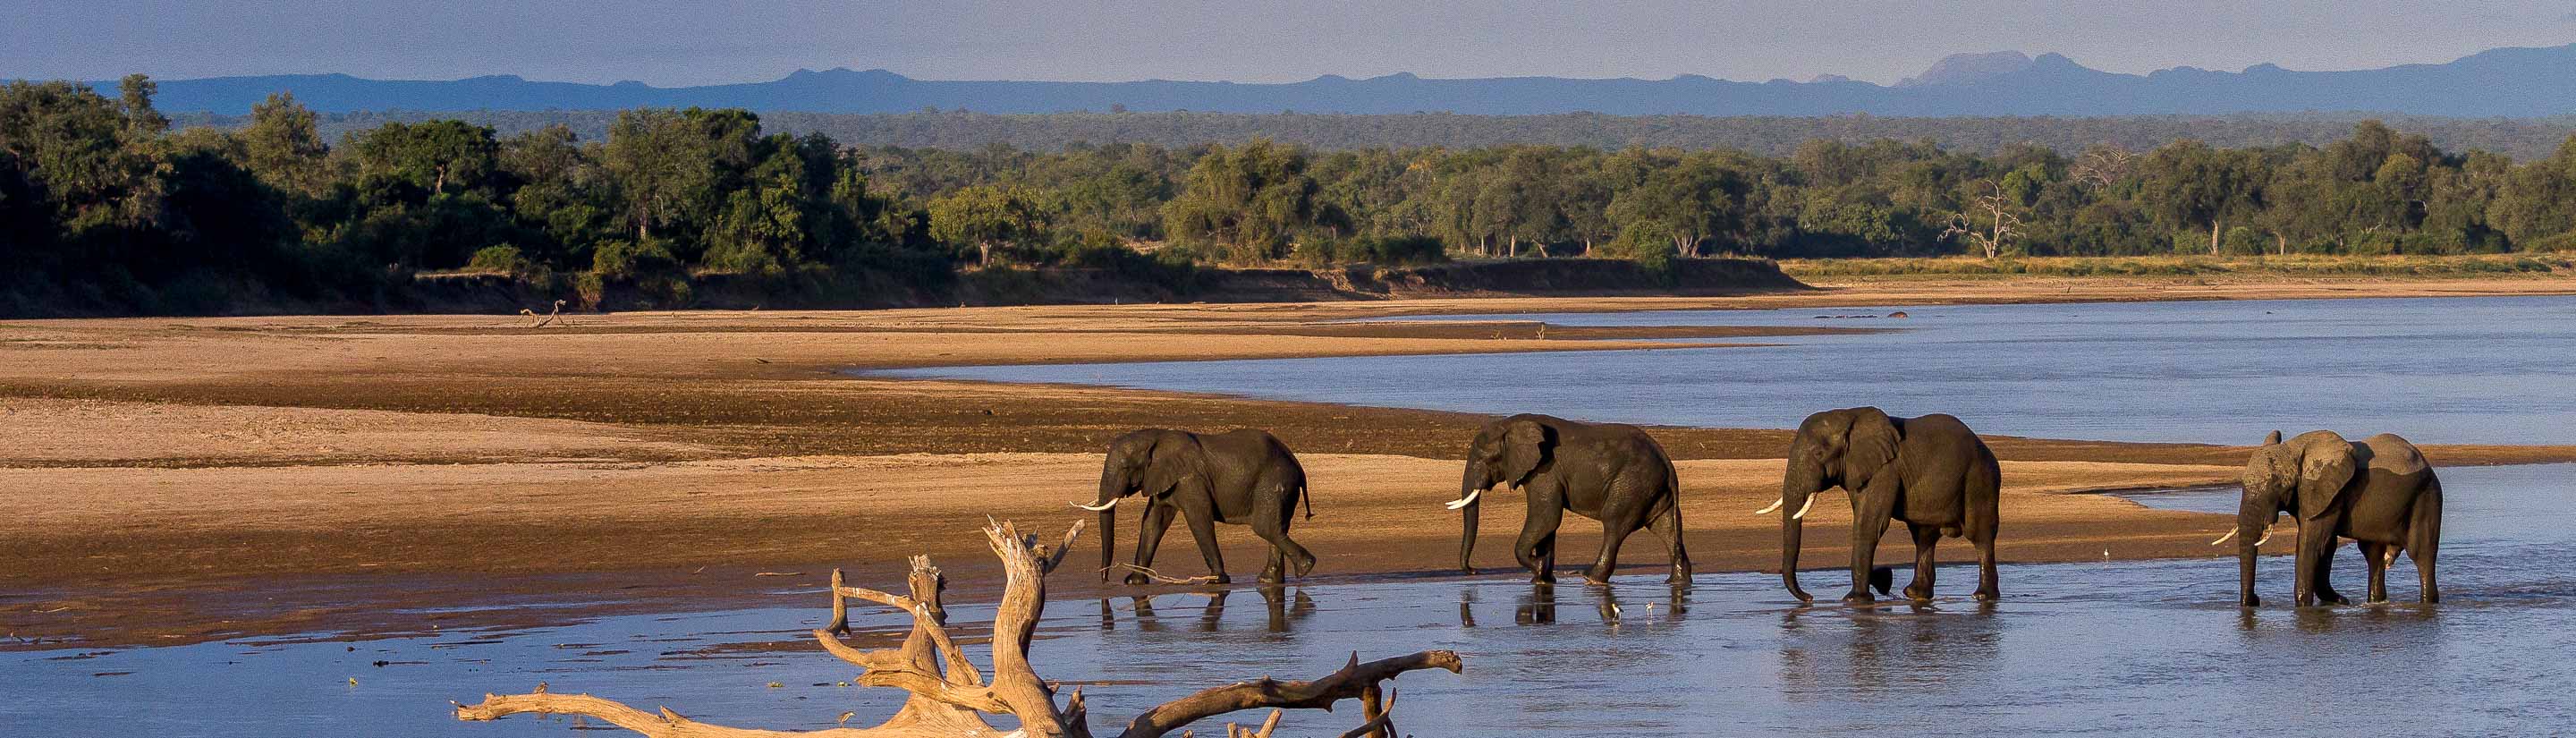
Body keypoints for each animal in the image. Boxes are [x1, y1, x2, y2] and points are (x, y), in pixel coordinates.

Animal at [1072, 428, 1318, 585]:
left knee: (1265, 527)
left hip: (1274, 483)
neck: (1154, 438)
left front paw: (1217, 581)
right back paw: (1269, 579)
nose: (1105, 580)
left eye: (1125, 468)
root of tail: (1298, 465)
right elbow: (1153, 522)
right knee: (1275, 528)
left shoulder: (1189, 479)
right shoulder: (1164, 480)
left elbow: (1198, 518)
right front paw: (1134, 582)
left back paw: (1305, 568)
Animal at [1453, 412, 1690, 585]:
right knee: (1667, 529)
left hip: (1631, 484)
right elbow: (1547, 526)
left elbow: (1546, 517)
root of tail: (1666, 460)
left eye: (1483, 458)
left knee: (1614, 526)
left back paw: (1590, 578)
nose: (1475, 571)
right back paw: (1677, 582)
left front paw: (1539, 568)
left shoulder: (1545, 470)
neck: (1511, 426)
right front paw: (1542, 578)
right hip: (1652, 489)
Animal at [1772, 407, 2009, 601]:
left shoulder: (1886, 470)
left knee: (1979, 534)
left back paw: (1983, 596)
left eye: (1819, 454)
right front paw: (1883, 578)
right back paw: (1915, 594)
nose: (1809, 598)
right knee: (1924, 536)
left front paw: (1856, 599)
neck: (1849, 416)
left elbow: (1870, 523)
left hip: (1980, 478)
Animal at [2225, 428, 2442, 608]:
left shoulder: (2329, 493)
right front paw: (2338, 601)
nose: (2256, 600)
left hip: (2426, 497)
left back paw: (2427, 602)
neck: (2293, 449)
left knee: (2422, 554)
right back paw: (2376, 601)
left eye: (2277, 485)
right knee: (2373, 554)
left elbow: (2313, 542)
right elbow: (2325, 544)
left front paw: (2304, 605)